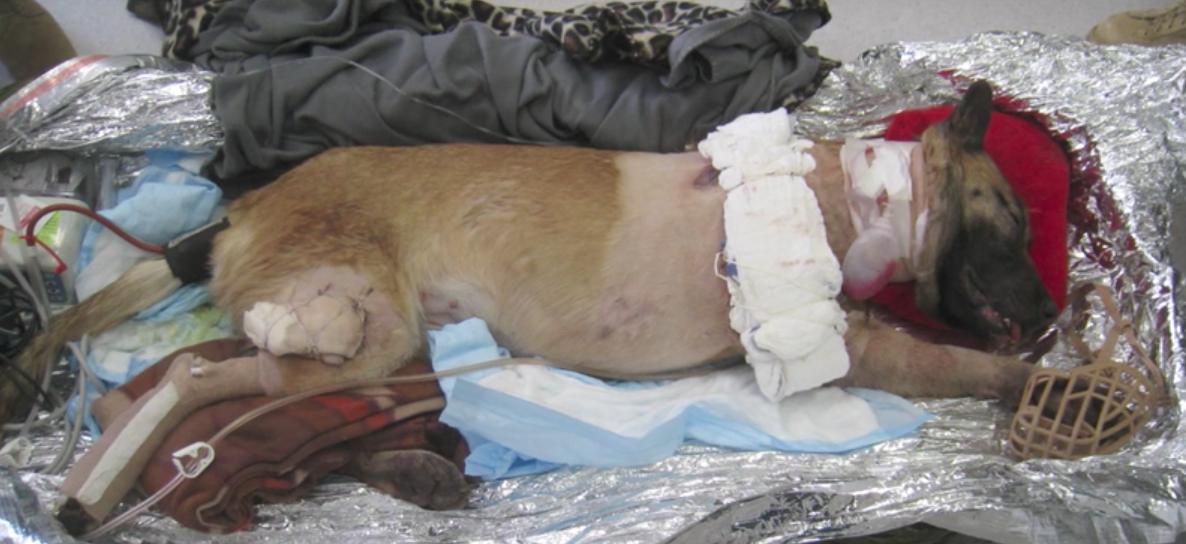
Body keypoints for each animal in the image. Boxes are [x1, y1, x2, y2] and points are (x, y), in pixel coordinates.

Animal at [11, 81, 1060, 529]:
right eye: (1010, 219)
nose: (1055, 309)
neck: (871, 196)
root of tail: (243, 205)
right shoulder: (860, 344)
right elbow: (965, 363)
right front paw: (1049, 382)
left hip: (404, 353)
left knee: (319, 415)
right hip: (367, 324)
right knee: (198, 376)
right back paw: (99, 482)